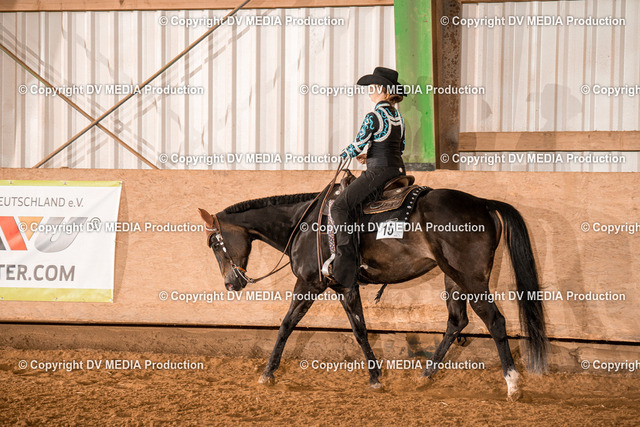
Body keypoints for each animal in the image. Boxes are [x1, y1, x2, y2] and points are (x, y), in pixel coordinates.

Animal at [198, 181, 547, 401]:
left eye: (214, 242)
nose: (231, 283)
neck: (305, 224)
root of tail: (482, 203)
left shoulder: (310, 283)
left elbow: (289, 324)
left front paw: (267, 374)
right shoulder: (343, 286)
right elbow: (358, 329)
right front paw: (376, 378)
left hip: (471, 279)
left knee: (495, 321)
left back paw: (513, 384)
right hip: (453, 279)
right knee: (457, 322)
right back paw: (425, 378)